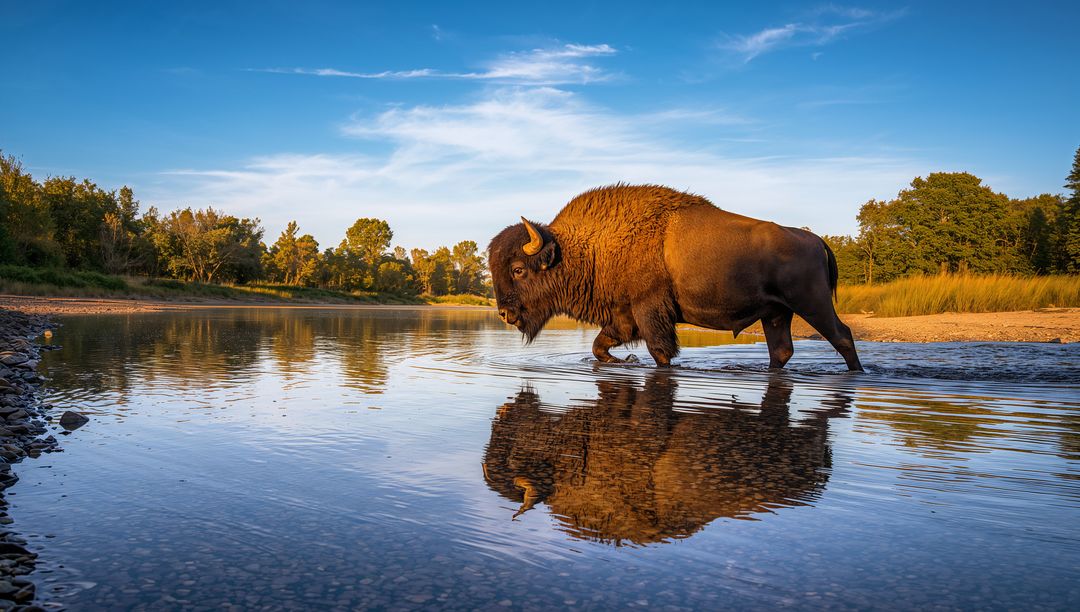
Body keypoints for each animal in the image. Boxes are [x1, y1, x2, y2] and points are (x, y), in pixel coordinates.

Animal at [488, 184, 862, 370]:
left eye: (518, 269)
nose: (505, 314)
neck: (585, 247)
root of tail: (816, 240)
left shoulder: (649, 310)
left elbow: (660, 351)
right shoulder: (624, 316)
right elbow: (599, 345)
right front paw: (622, 360)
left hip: (812, 304)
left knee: (842, 336)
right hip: (776, 315)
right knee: (781, 352)